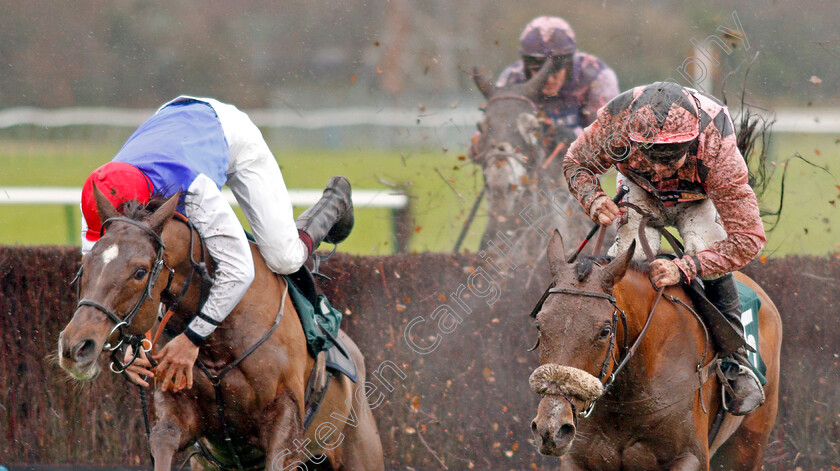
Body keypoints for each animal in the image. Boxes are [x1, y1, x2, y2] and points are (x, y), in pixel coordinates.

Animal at [57, 190, 386, 470]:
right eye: (86, 263)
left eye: (139, 272)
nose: (75, 346)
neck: (216, 336)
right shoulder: (181, 419)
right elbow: (164, 440)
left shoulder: (285, 420)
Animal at [532, 230, 780, 470]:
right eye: (539, 325)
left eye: (604, 331)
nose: (551, 428)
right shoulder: (578, 460)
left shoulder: (691, 457)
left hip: (748, 446)